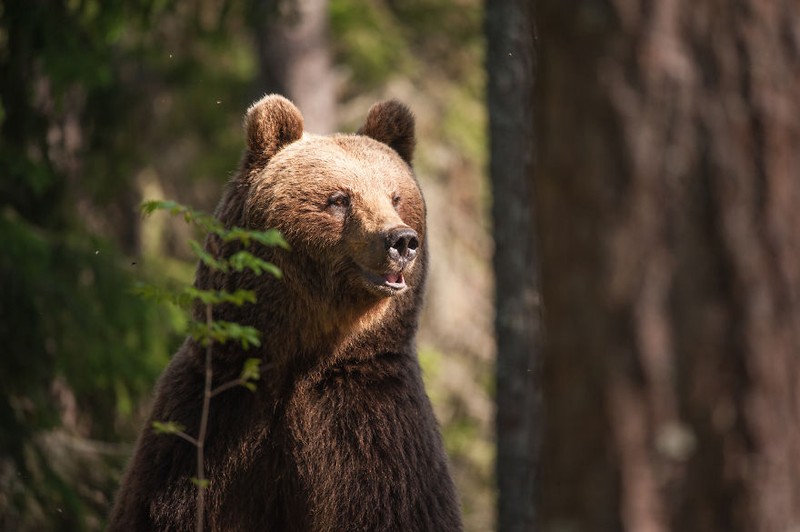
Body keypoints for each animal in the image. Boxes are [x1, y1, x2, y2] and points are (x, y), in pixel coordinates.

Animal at [111, 93, 462, 528]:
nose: (401, 240)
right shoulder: (210, 423)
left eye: (396, 197)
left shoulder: (375, 431)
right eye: (339, 199)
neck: (304, 353)